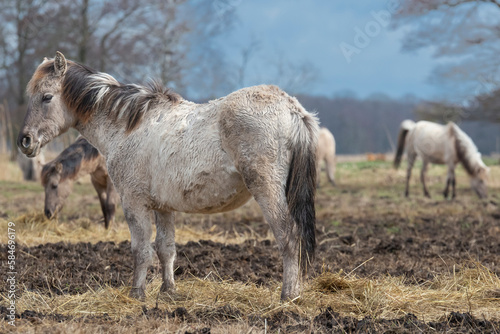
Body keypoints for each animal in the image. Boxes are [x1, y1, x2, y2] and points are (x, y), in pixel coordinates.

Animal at [18, 51, 320, 302]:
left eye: (47, 97)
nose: (25, 140)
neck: (127, 127)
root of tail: (292, 108)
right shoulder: (163, 207)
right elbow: (166, 249)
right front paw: (168, 290)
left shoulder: (134, 203)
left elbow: (141, 250)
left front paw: (137, 293)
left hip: (267, 190)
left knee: (289, 238)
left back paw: (288, 296)